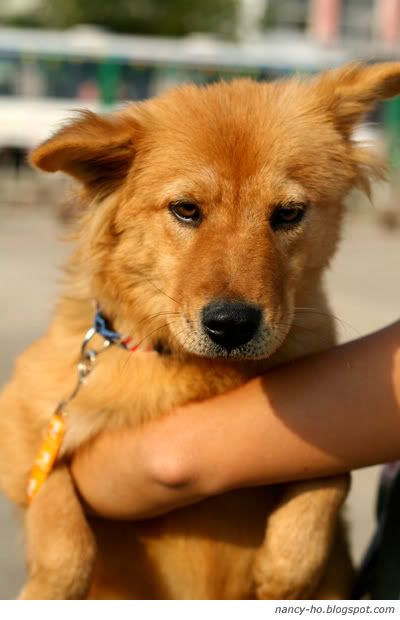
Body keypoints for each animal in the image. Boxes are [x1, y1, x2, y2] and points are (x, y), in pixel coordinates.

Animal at [1, 61, 398, 596]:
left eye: (288, 214)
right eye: (186, 209)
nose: (231, 325)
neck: (196, 369)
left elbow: (333, 478)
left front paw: (284, 571)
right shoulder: (29, 409)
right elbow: (57, 519)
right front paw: (49, 589)